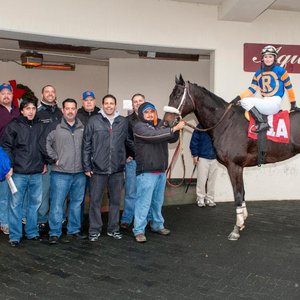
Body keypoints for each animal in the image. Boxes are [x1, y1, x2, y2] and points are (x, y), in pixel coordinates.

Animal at [163, 76, 300, 240]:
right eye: (170, 95)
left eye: (177, 95)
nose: (165, 122)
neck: (225, 122)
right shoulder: (239, 167)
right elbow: (243, 192)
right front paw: (242, 221)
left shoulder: (234, 166)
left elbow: (238, 195)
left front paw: (236, 229)